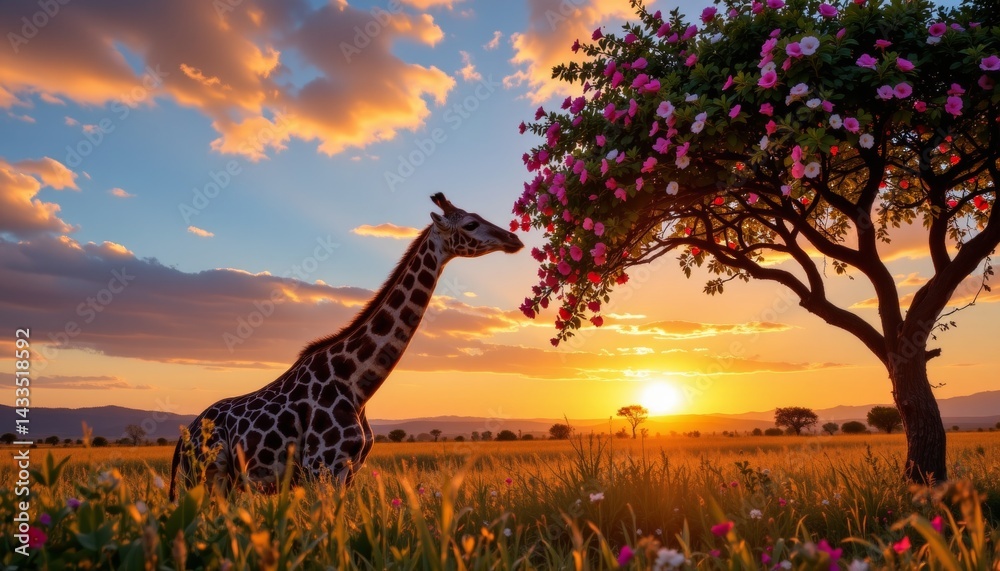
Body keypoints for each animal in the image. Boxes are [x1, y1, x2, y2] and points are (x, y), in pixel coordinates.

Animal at [169, 193, 523, 499]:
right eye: (471, 224)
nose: (514, 239)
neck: (356, 383)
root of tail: (184, 437)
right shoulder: (321, 467)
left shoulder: (348, 470)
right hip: (201, 475)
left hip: (225, 481)